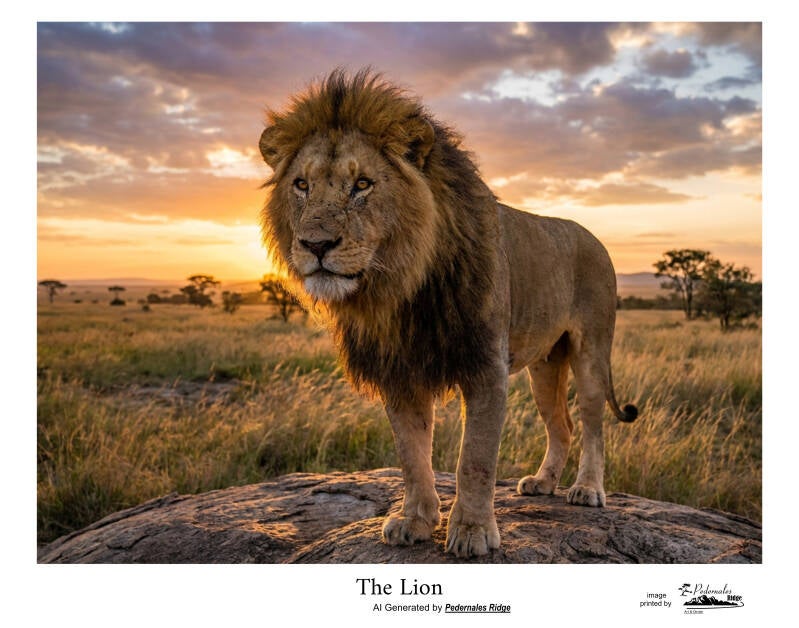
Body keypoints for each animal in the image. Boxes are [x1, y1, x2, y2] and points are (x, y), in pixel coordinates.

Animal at [258, 69, 638, 558]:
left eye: (362, 184)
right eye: (301, 185)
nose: (315, 245)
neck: (402, 287)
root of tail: (595, 237)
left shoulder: (485, 366)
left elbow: (474, 459)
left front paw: (473, 532)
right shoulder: (400, 373)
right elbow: (412, 455)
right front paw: (414, 522)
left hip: (591, 350)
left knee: (592, 423)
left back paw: (587, 489)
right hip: (545, 364)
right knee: (562, 425)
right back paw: (543, 483)